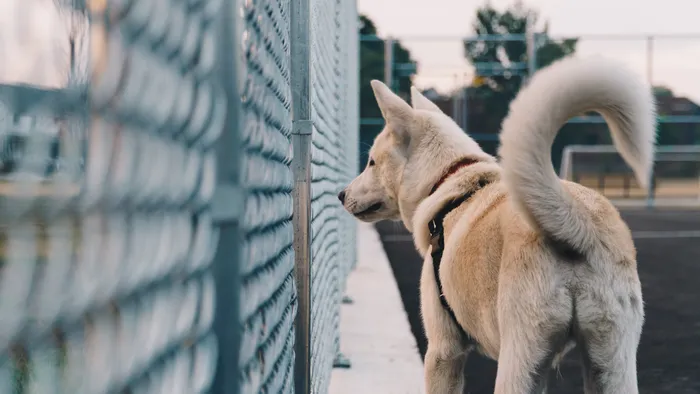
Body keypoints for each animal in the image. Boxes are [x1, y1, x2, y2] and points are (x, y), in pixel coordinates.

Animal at [340, 56, 656, 394]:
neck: (449, 180)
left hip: (520, 360)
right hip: (610, 362)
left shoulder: (443, 350)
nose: (341, 195)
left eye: (371, 162)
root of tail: (577, 222)